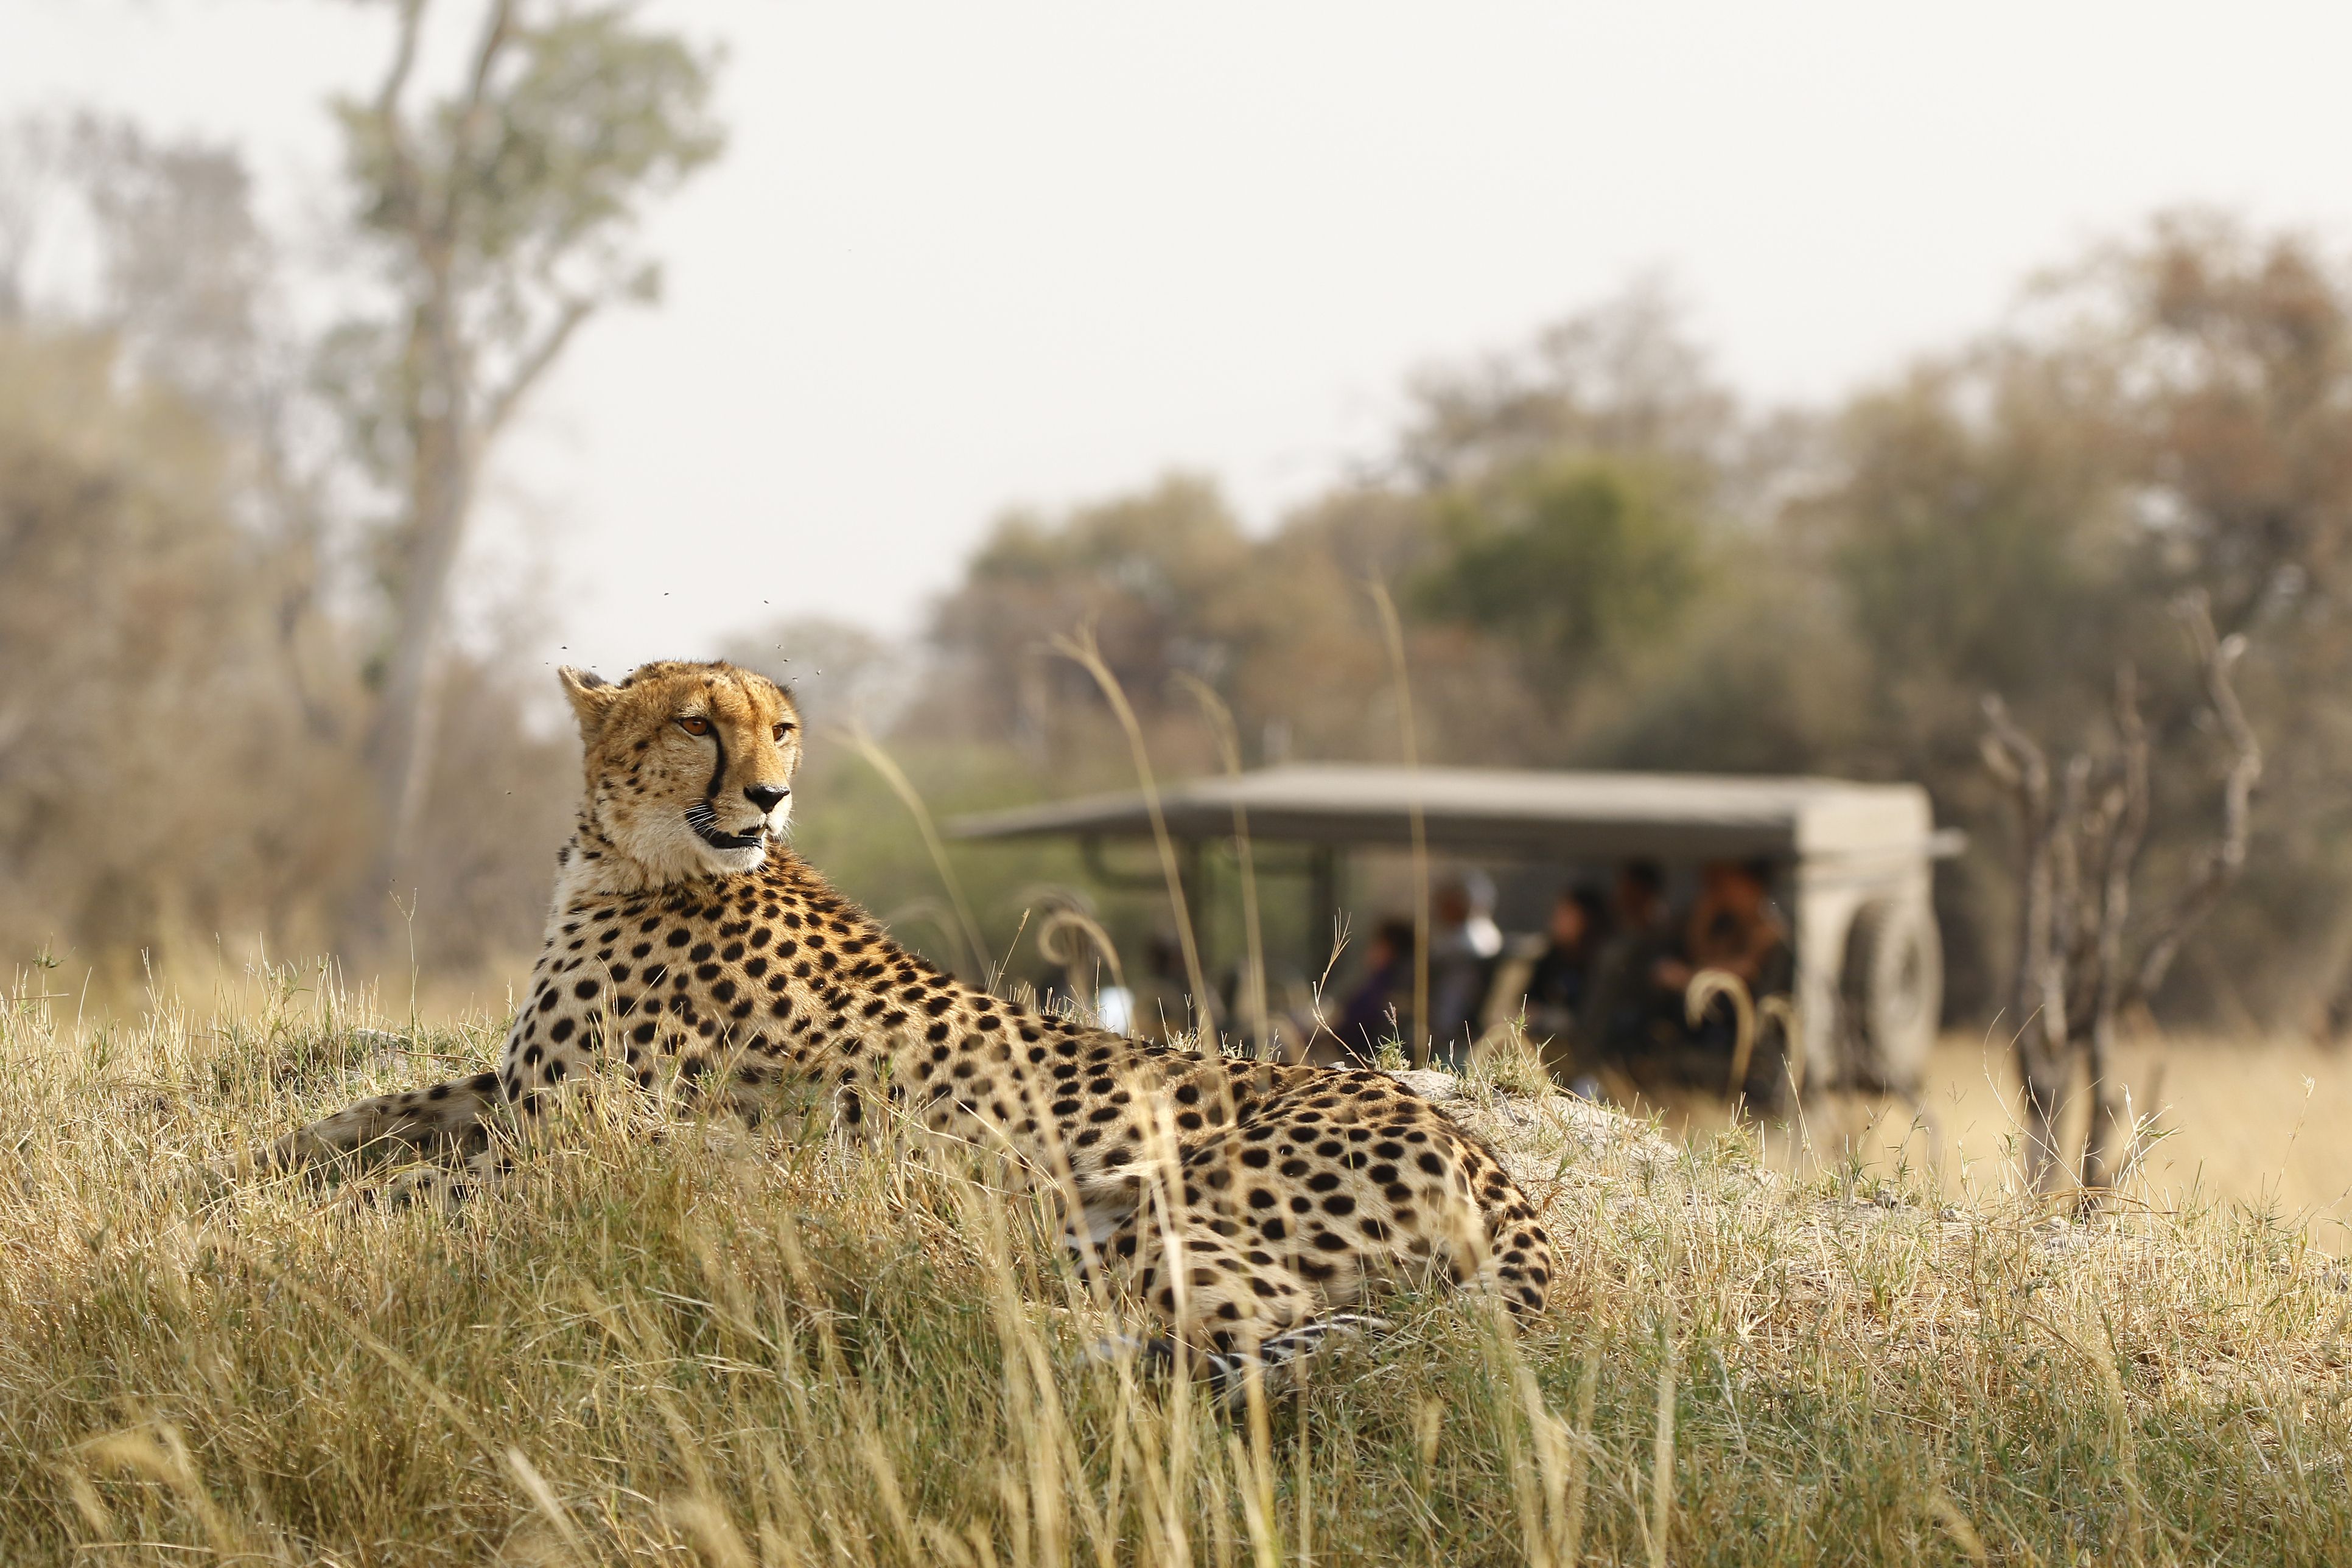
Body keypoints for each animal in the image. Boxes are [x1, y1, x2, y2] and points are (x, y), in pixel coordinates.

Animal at [262, 663, 1561, 1382]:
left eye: (779, 728)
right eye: (696, 723)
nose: (771, 792)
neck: (635, 858)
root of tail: (1478, 1150)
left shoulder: (577, 1134)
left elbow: (415, 1188)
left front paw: (296, 1213)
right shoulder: (518, 1089)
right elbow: (374, 1114)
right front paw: (265, 1160)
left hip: (1137, 1201)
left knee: (1270, 1326)